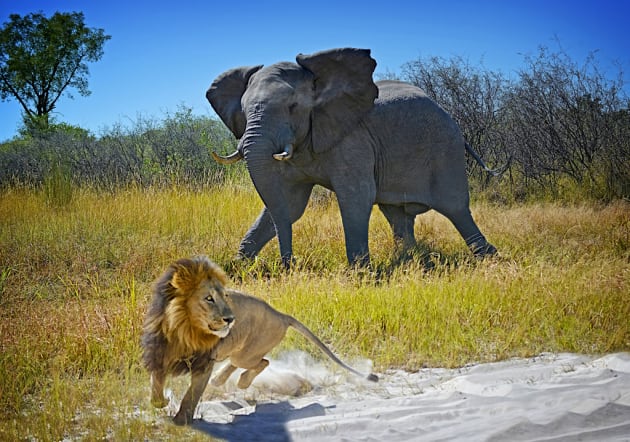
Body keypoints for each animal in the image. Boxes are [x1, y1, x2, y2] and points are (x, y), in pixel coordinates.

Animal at [142, 256, 380, 424]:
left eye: (225, 296)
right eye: (208, 299)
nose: (231, 319)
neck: (184, 330)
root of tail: (281, 315)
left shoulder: (203, 363)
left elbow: (191, 395)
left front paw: (181, 421)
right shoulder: (159, 356)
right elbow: (155, 388)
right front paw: (163, 401)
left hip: (248, 353)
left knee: (262, 362)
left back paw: (240, 382)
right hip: (239, 350)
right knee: (240, 362)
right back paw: (220, 380)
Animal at [207, 47, 498, 268]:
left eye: (292, 107)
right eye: (243, 111)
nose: (289, 264)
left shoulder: (353, 140)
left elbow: (356, 196)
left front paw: (361, 272)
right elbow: (290, 204)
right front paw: (236, 267)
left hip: (445, 148)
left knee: (455, 207)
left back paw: (488, 257)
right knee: (396, 213)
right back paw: (409, 258)